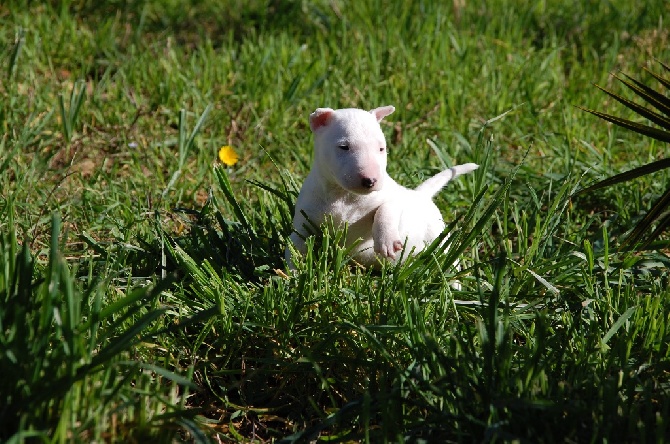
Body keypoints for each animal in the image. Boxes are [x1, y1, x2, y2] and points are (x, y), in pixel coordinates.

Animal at [286, 106, 480, 268]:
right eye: (344, 147)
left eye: (381, 148)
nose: (370, 180)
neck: (345, 196)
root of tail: (421, 195)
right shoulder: (305, 218)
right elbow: (297, 244)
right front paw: (292, 273)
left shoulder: (393, 198)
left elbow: (385, 209)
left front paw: (387, 242)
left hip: (437, 237)